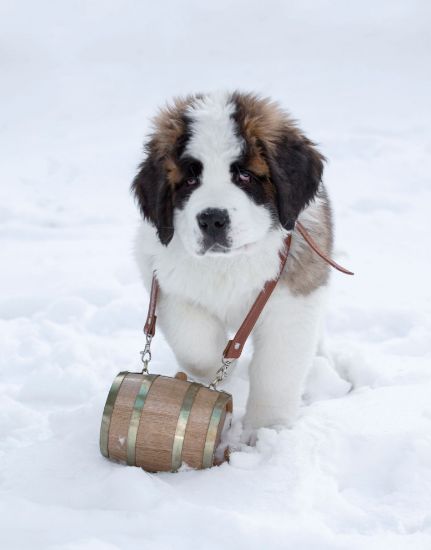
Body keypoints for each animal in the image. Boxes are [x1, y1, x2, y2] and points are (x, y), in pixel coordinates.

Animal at [133, 91, 332, 440]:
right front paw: (218, 377)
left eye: (245, 175)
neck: (228, 263)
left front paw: (267, 429)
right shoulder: (168, 288)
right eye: (190, 179)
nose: (212, 219)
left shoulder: (291, 301)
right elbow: (198, 351)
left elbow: (277, 369)